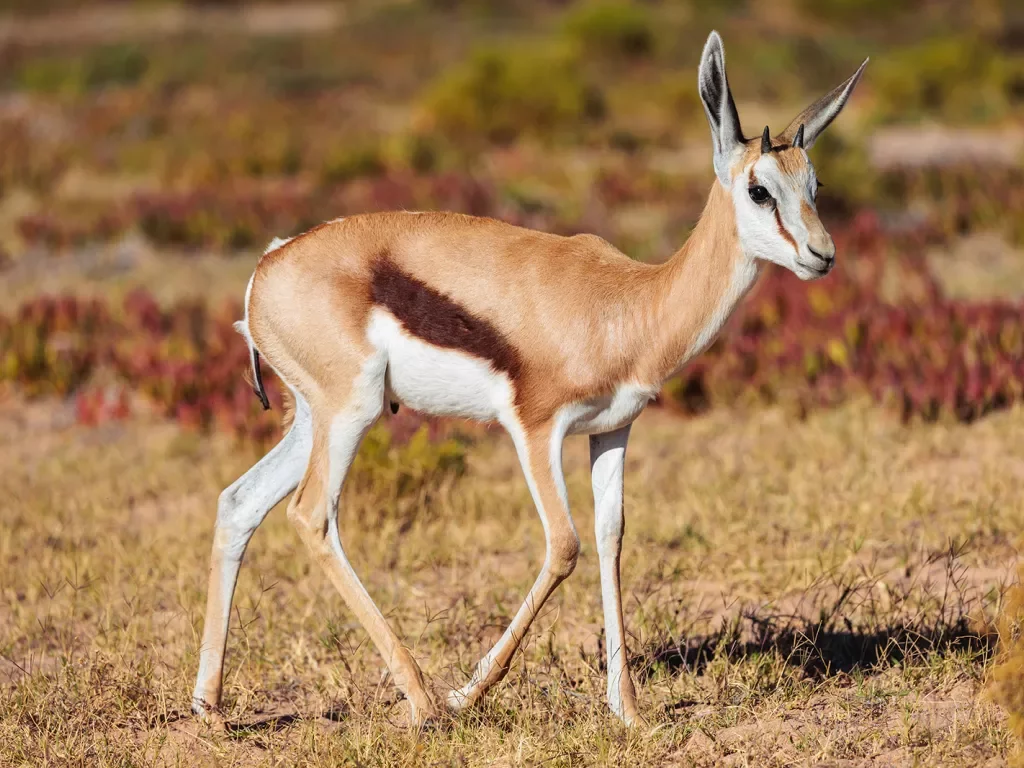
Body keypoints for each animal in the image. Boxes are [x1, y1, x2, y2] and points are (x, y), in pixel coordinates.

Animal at [190, 30, 864, 729]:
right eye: (759, 190)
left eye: (814, 183)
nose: (823, 255)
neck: (627, 304)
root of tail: (268, 263)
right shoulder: (534, 428)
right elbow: (564, 545)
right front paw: (468, 693)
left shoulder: (613, 431)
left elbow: (610, 539)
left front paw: (627, 710)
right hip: (351, 412)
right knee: (311, 514)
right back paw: (425, 700)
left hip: (315, 417)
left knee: (239, 502)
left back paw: (209, 706)